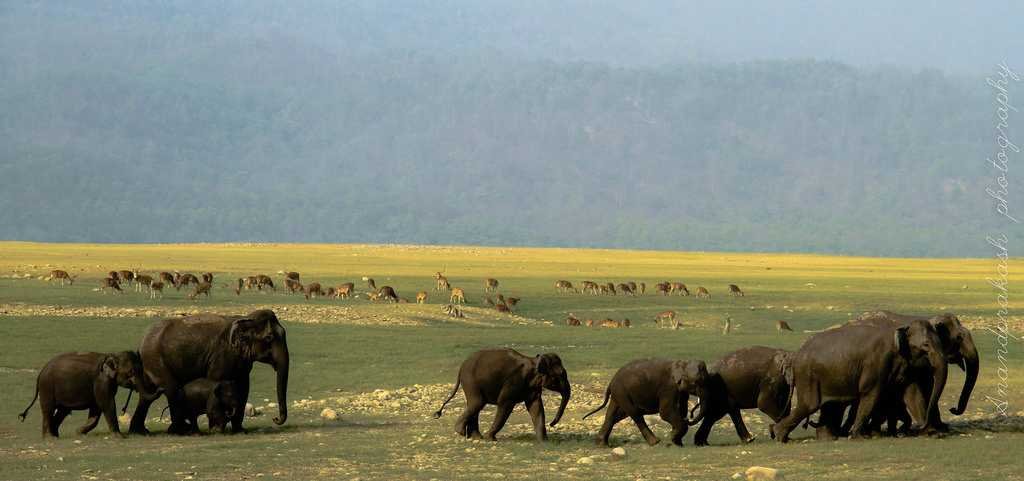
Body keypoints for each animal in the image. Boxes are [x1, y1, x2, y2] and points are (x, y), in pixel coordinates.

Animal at [19, 352, 156, 438]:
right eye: (131, 372)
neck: (112, 355)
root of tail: (40, 373)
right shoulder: (101, 381)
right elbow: (106, 404)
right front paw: (120, 437)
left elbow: (96, 408)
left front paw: (79, 432)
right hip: (47, 387)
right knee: (48, 410)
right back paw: (49, 438)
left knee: (62, 411)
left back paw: (55, 436)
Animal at [128, 309, 290, 433]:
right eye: (269, 338)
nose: (275, 419)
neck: (244, 319)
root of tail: (141, 344)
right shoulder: (221, 357)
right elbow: (218, 382)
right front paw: (217, 429)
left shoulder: (242, 361)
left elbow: (244, 388)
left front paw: (240, 430)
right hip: (156, 360)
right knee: (171, 389)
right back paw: (180, 430)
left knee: (147, 396)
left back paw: (140, 432)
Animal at [432, 347, 573, 442]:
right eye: (561, 374)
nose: (552, 424)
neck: (533, 361)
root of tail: (461, 367)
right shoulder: (513, 382)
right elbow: (505, 404)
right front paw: (491, 438)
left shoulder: (532, 387)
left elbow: (536, 407)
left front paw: (544, 441)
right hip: (470, 382)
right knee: (477, 403)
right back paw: (462, 432)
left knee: (475, 405)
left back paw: (476, 437)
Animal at [770, 319, 946, 444]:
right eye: (926, 345)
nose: (921, 426)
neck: (898, 329)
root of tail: (796, 355)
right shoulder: (876, 363)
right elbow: (870, 394)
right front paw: (858, 437)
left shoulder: (906, 366)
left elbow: (913, 396)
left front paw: (933, 434)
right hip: (808, 376)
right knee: (809, 404)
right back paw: (780, 436)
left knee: (826, 404)